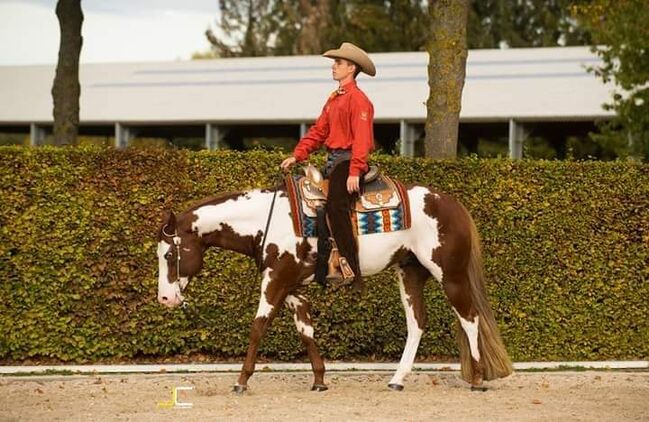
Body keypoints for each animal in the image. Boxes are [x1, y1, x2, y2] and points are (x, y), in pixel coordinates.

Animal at [157, 172, 512, 392]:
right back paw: (397, 379)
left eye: (169, 254)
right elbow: (306, 330)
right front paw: (319, 379)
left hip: (449, 274)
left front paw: (242, 381)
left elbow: (258, 326)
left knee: (469, 317)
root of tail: (453, 204)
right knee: (417, 323)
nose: (165, 299)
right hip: (410, 272)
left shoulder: (276, 281)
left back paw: (478, 378)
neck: (267, 221)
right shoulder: (292, 286)